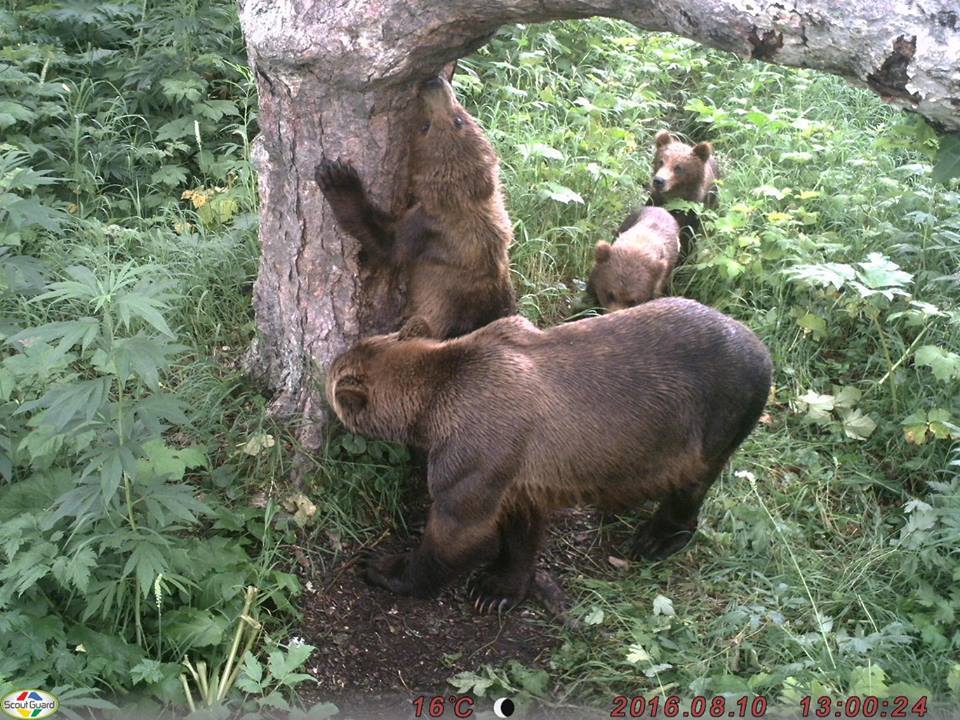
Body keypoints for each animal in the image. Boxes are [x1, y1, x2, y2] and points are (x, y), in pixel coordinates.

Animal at [326, 298, 776, 612]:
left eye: (331, 376)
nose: (326, 364)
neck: (433, 404)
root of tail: (761, 347)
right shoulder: (518, 466)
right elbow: (521, 525)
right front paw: (499, 588)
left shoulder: (475, 451)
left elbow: (458, 528)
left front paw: (385, 567)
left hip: (718, 415)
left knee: (693, 484)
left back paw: (656, 538)